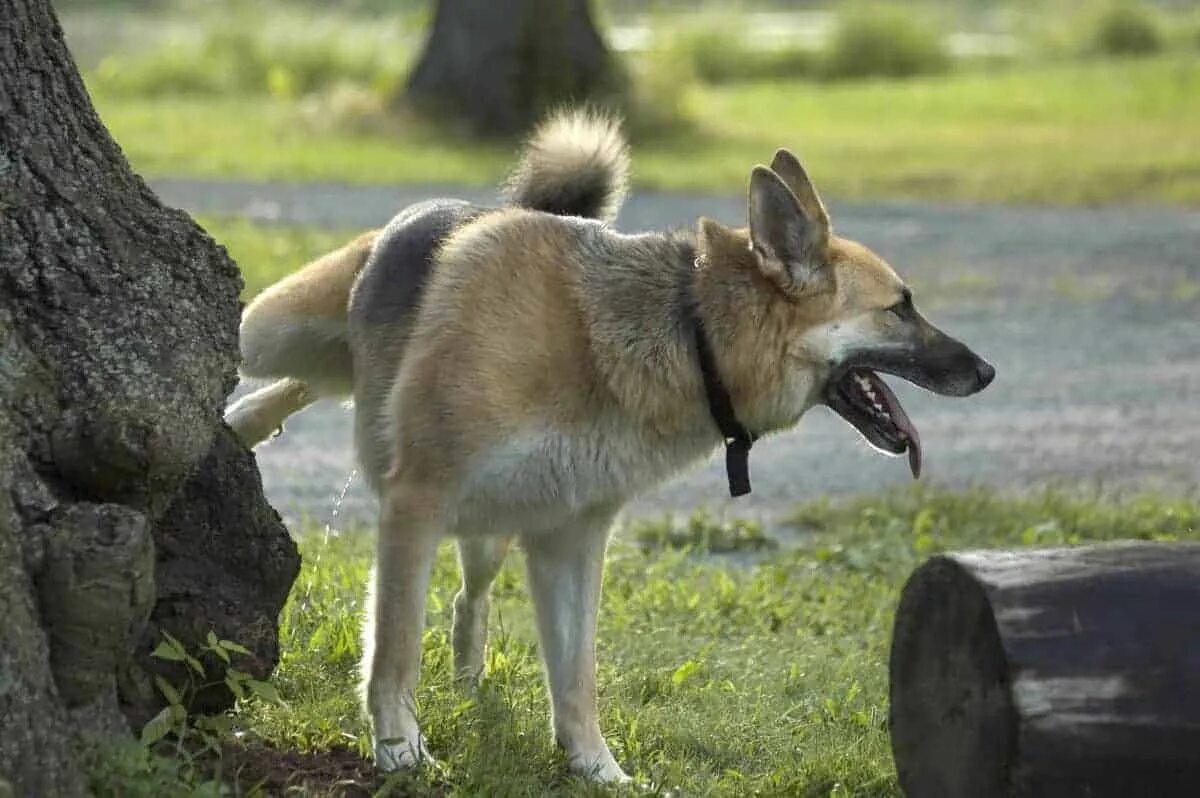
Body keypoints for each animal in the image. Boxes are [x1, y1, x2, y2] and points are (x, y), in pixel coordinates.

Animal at [225, 109, 993, 782]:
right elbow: (395, 648)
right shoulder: (415, 504)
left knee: (468, 599)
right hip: (276, 331)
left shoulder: (568, 538)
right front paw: (399, 752)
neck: (686, 331)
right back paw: (240, 417)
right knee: (282, 366)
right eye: (900, 308)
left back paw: (469, 679)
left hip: (492, 530)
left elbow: (575, 678)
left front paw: (596, 769)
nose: (987, 372)